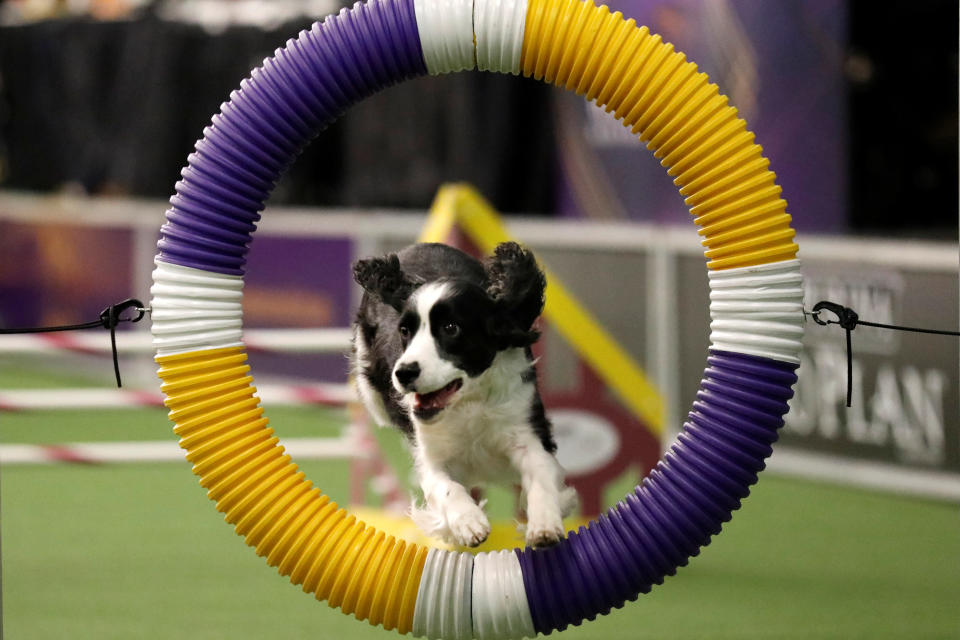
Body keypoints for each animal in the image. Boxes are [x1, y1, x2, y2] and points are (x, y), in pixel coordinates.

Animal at [354, 242, 572, 548]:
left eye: (451, 328)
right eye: (405, 330)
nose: (404, 373)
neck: (469, 400)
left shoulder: (525, 429)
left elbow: (540, 475)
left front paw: (544, 526)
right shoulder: (431, 455)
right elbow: (447, 487)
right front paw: (469, 523)